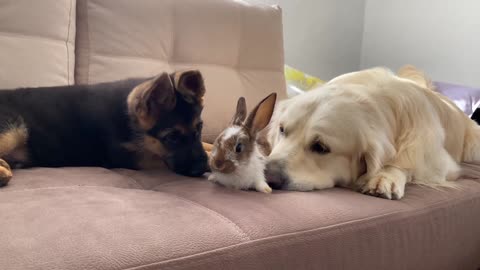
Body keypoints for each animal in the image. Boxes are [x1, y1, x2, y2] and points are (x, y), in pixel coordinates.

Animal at [0, 70, 210, 187]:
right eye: (172, 138)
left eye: (199, 128)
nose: (203, 168)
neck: (128, 115)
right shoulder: (127, 157)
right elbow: (158, 159)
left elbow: (206, 143)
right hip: (13, 129)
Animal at [266, 66, 480, 199]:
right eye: (282, 130)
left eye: (321, 147)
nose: (268, 175)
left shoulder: (439, 164)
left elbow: (405, 163)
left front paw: (386, 176)